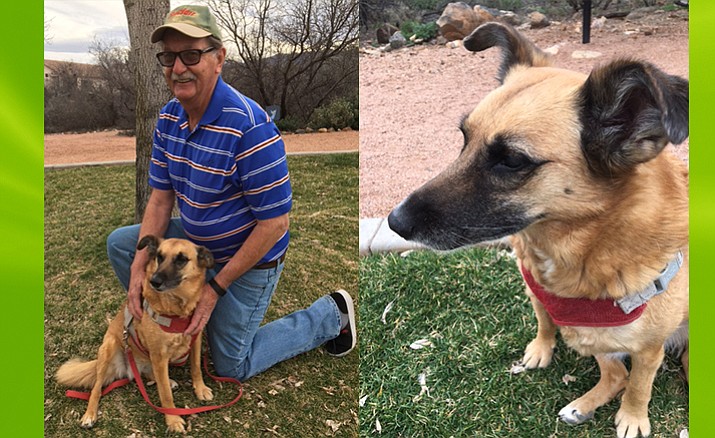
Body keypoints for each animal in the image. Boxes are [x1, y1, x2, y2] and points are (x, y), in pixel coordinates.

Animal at [56, 236, 215, 432]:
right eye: (159, 257)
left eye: (181, 259)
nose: (155, 281)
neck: (176, 308)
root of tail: (128, 369)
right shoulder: (159, 355)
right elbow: (165, 394)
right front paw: (173, 419)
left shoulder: (195, 339)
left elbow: (196, 368)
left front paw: (200, 388)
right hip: (109, 348)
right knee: (96, 389)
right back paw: (89, 415)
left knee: (152, 375)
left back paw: (167, 380)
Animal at [388, 23, 692, 438]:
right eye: (464, 138)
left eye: (512, 161)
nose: (394, 221)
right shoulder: (539, 295)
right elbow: (545, 320)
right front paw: (540, 348)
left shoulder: (648, 351)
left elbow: (640, 386)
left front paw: (632, 418)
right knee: (615, 374)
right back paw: (582, 406)